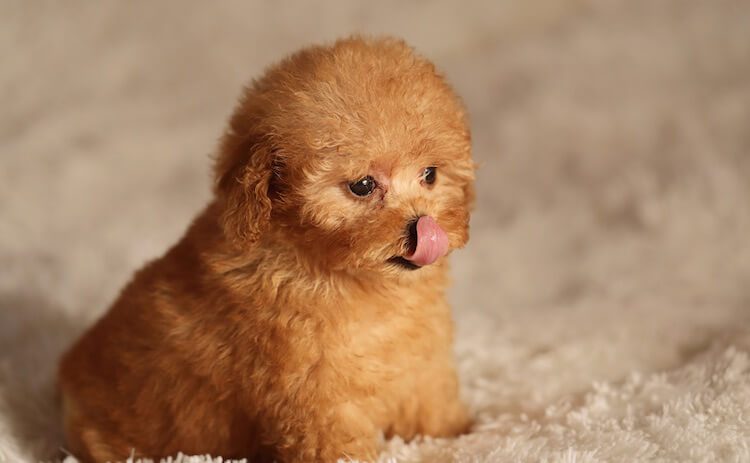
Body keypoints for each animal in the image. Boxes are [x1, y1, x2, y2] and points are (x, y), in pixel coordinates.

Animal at [58, 37, 476, 463]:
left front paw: (463, 432)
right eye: (362, 185)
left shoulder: (423, 366)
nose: (425, 227)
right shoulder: (317, 396)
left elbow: (435, 407)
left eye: (430, 175)